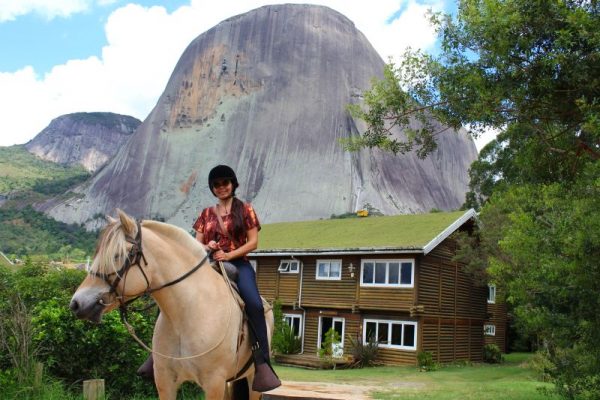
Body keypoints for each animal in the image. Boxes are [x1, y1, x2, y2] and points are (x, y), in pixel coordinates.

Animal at [68, 211, 272, 398]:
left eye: (117, 255)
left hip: (251, 380)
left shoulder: (214, 384)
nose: (76, 304)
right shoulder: (165, 382)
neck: (188, 315)